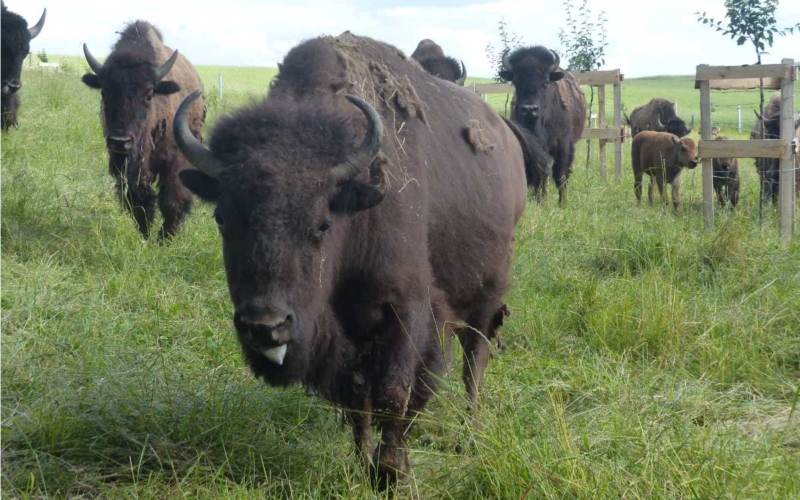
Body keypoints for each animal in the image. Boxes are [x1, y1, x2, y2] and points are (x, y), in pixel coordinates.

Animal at [81, 22, 205, 241]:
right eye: (104, 91)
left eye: (148, 95)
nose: (120, 140)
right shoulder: (130, 168)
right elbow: (139, 201)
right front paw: (145, 238)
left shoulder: (176, 160)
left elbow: (172, 200)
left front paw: (165, 240)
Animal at [173, 32, 532, 492]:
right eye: (221, 217)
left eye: (323, 222)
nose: (265, 326)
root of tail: (506, 139)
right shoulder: (346, 333)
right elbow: (356, 397)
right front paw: (362, 466)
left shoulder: (405, 310)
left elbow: (393, 392)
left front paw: (392, 472)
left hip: (488, 295)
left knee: (475, 362)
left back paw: (470, 436)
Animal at [500, 45, 588, 205]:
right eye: (515, 81)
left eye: (546, 81)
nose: (530, 109)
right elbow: (539, 173)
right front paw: (539, 201)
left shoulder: (563, 145)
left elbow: (560, 175)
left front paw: (562, 204)